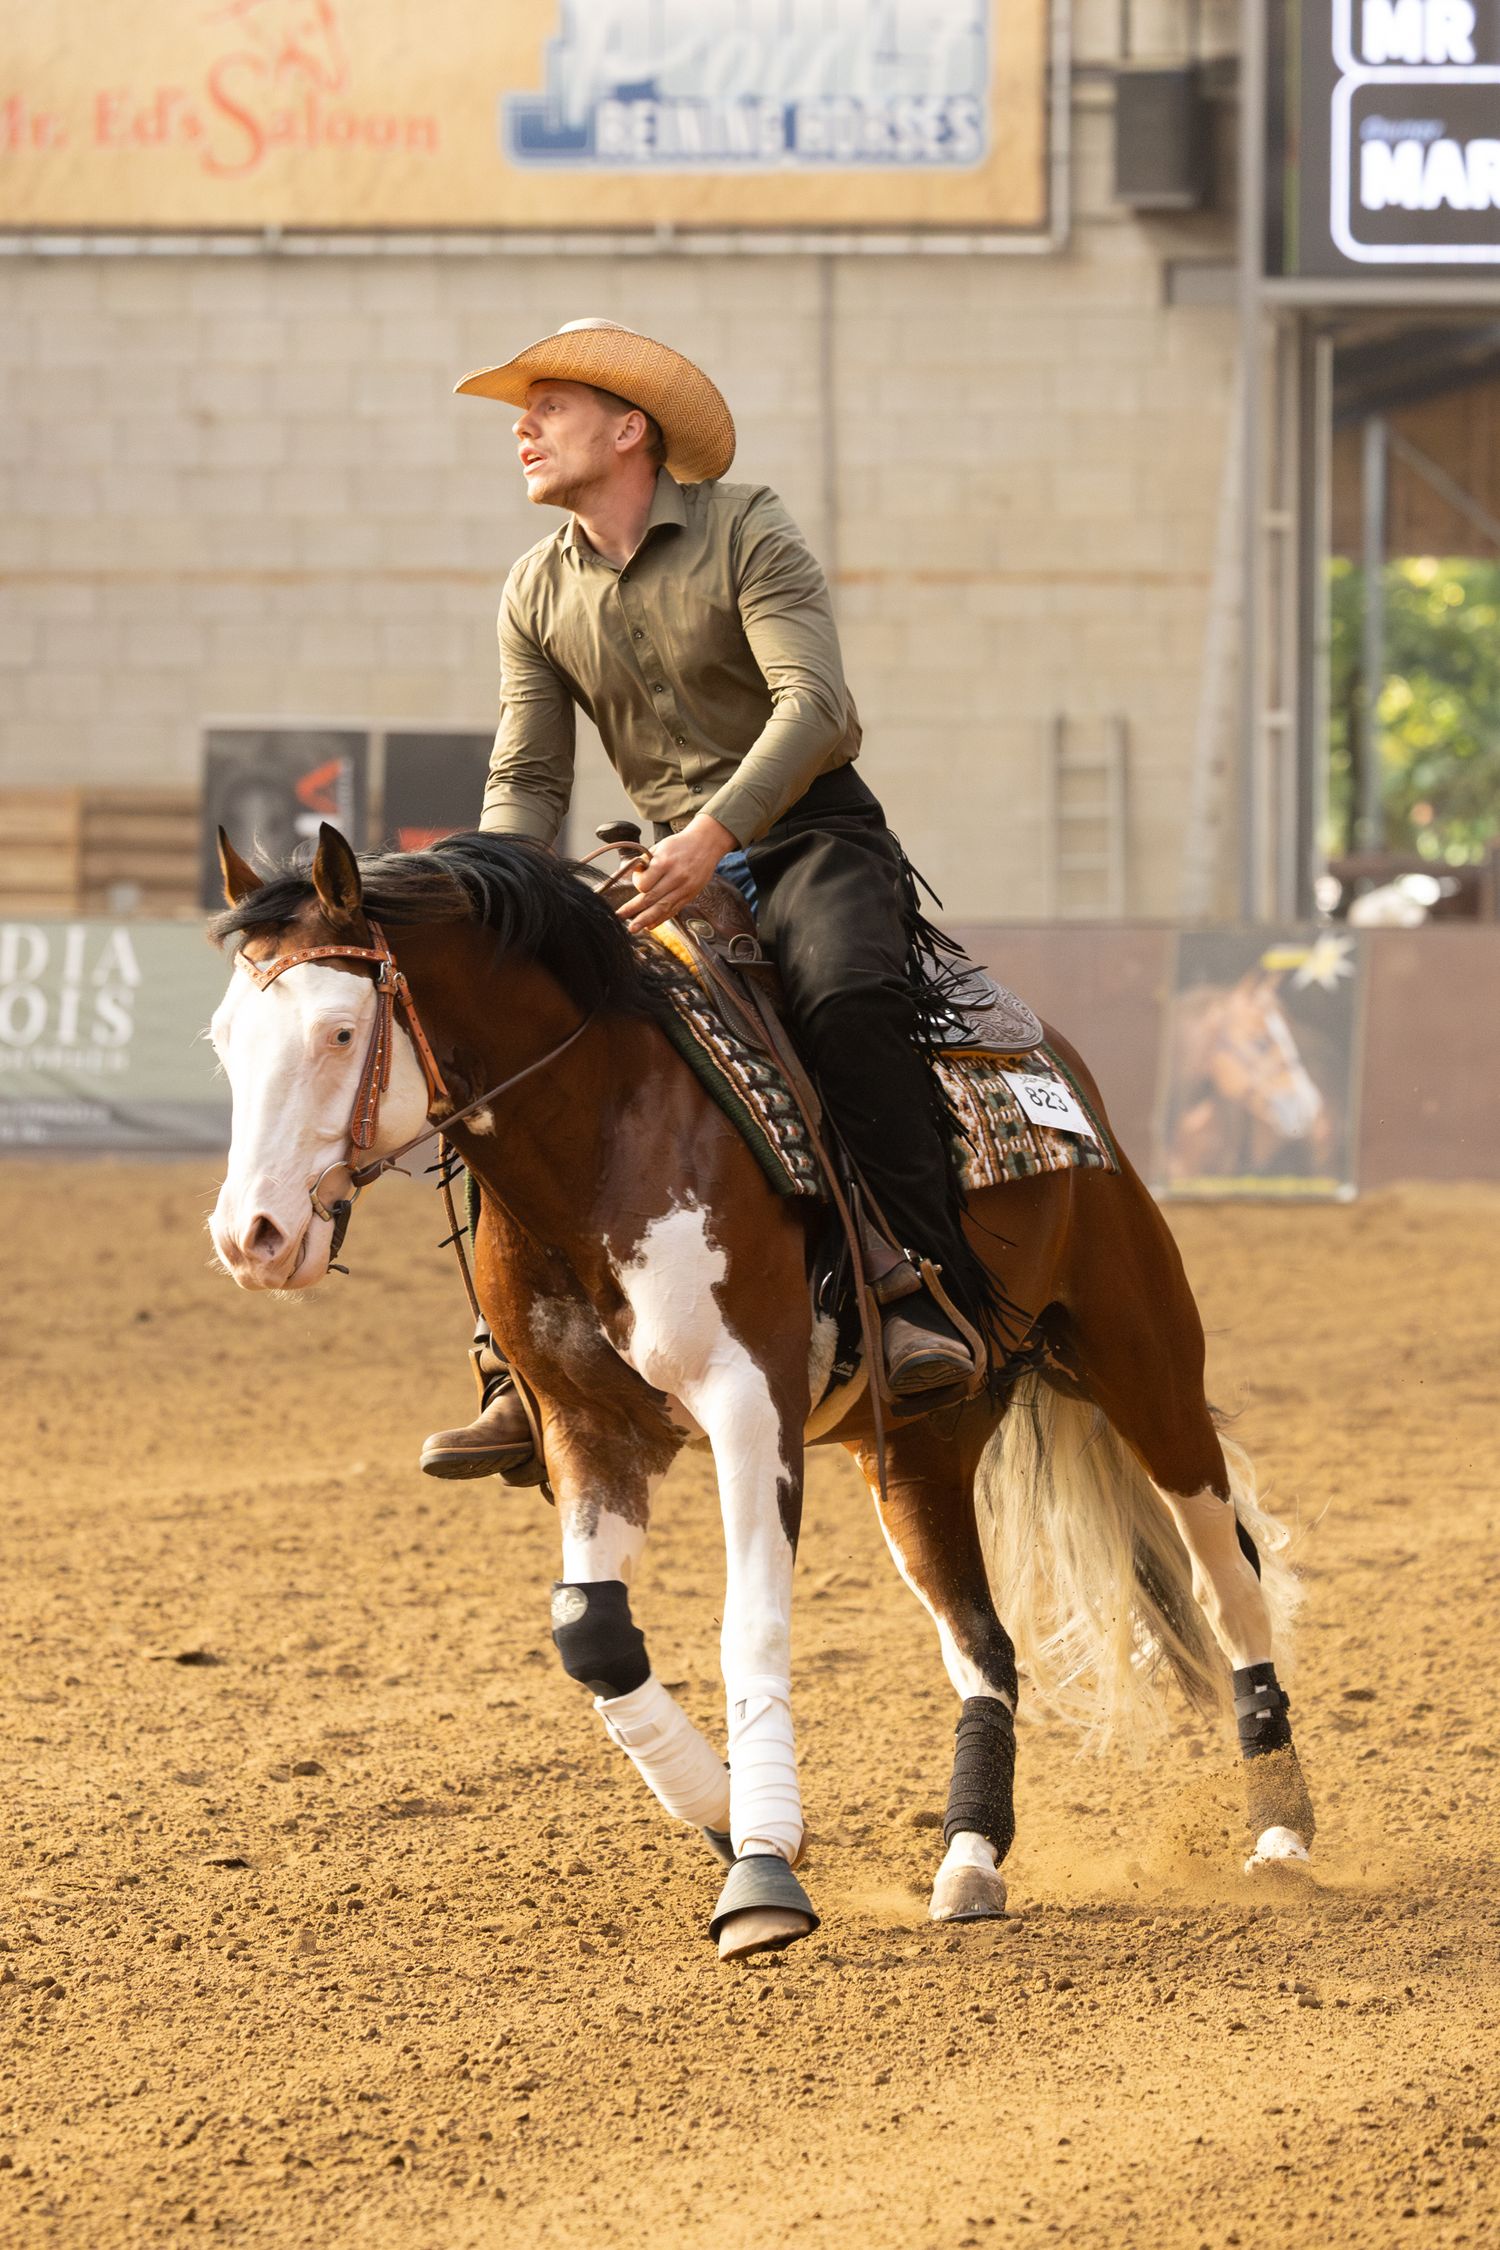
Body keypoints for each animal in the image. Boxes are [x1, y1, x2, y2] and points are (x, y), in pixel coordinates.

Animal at [206, 823, 1316, 1962]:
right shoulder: (588, 1427)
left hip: (1146, 1363)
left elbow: (752, 1628)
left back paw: (1279, 1832)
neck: (605, 1131)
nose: (252, 1237)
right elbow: (592, 1635)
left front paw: (763, 1869)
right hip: (915, 1457)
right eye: (222, 1041)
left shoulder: (749, 1406)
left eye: (341, 1030)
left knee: (1229, 1582)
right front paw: (728, 1812)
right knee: (985, 1649)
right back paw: (969, 1858)